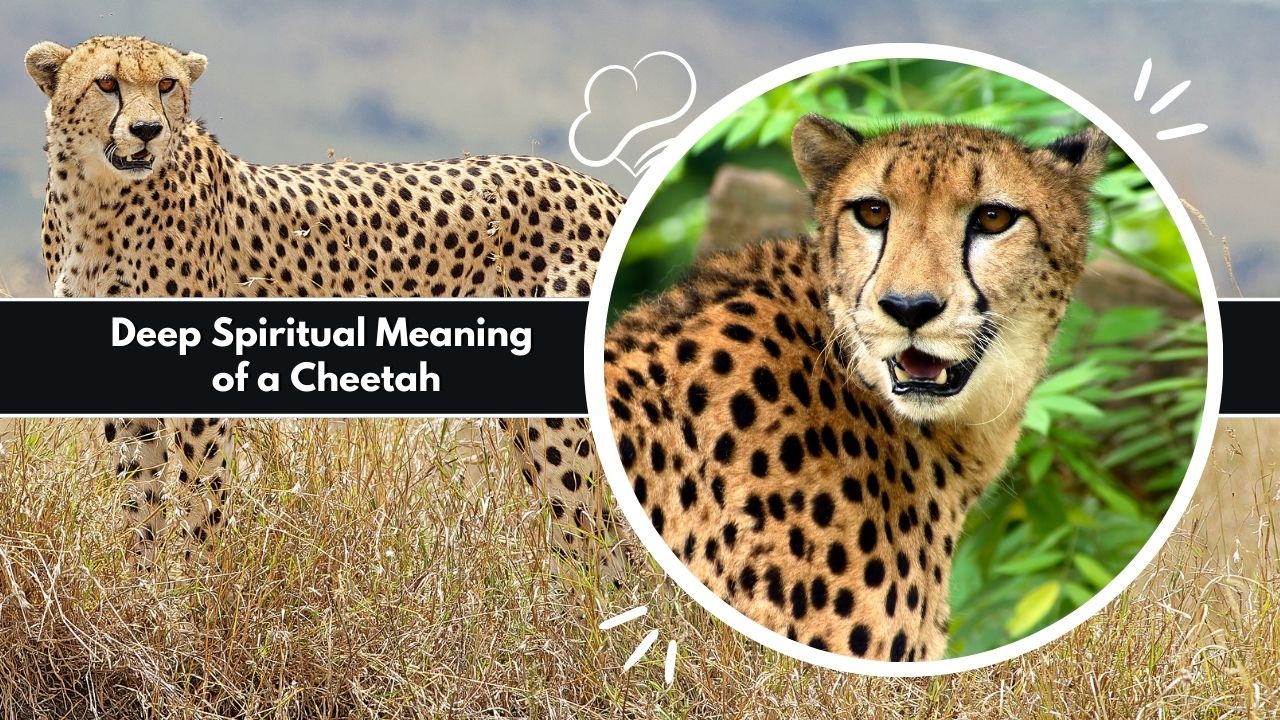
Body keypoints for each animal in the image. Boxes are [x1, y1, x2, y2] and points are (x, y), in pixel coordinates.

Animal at [25, 35, 627, 578]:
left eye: (167, 85)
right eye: (107, 83)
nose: (147, 130)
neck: (97, 201)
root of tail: (596, 185)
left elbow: (199, 497)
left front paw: (191, 594)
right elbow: (139, 498)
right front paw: (141, 588)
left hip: (558, 421)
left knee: (591, 529)